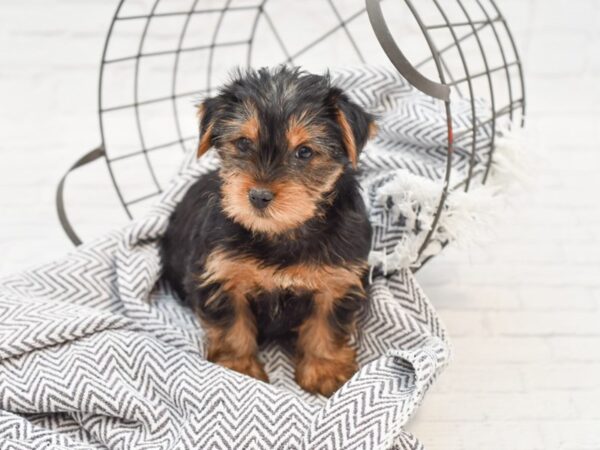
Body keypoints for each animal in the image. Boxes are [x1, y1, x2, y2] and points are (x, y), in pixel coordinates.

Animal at [161, 65, 376, 396]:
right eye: (243, 143)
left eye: (304, 152)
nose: (259, 196)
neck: (282, 232)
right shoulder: (222, 275)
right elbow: (231, 325)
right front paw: (238, 367)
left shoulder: (338, 279)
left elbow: (326, 323)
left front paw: (325, 369)